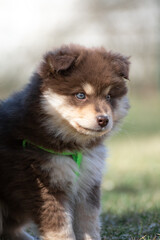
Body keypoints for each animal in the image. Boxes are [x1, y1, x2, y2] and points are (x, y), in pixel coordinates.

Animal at [0, 44, 130, 239]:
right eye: (80, 95)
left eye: (108, 97)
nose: (104, 120)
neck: (73, 148)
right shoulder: (45, 186)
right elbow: (61, 228)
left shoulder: (87, 184)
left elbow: (89, 224)